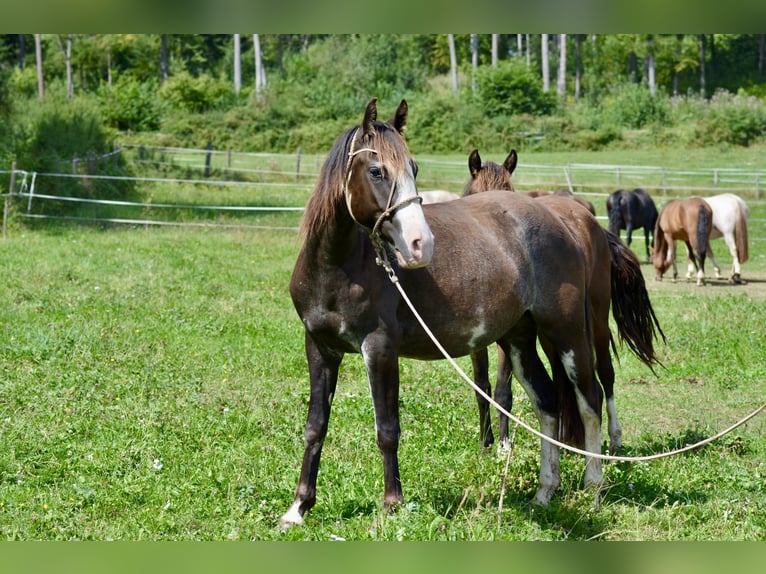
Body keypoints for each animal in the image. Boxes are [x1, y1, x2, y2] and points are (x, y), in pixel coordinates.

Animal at [282, 99, 608, 532]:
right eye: (376, 170)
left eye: (414, 168)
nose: (421, 244)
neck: (337, 268)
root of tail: (563, 219)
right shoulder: (319, 348)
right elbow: (315, 426)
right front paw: (298, 508)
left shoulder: (380, 349)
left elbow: (387, 429)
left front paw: (391, 506)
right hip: (518, 340)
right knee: (547, 403)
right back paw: (545, 492)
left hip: (567, 333)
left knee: (590, 399)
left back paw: (593, 489)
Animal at [462, 151, 664, 456]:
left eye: (508, 194)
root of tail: (589, 219)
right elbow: (481, 385)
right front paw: (486, 442)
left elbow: (502, 390)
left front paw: (504, 444)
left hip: (596, 320)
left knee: (605, 374)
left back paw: (614, 437)